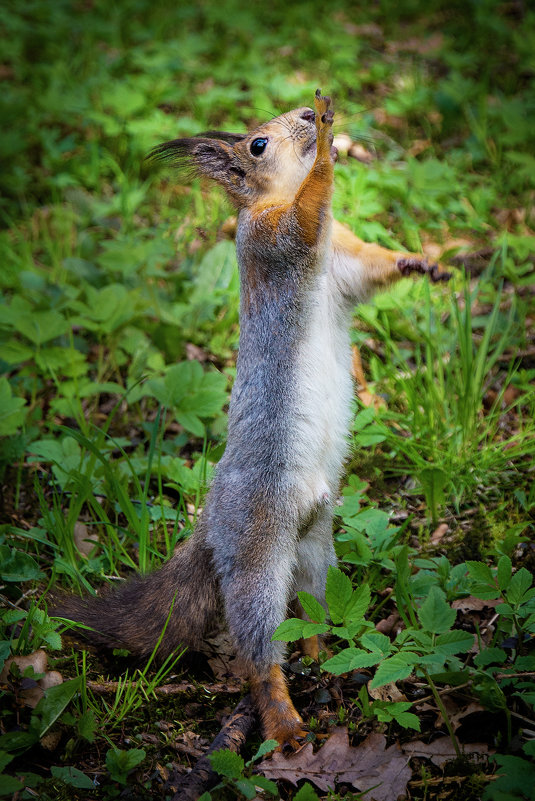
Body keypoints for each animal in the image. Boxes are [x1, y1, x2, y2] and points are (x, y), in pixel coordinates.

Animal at [57, 92, 452, 752]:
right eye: (257, 145)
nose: (304, 115)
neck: (278, 194)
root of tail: (212, 520)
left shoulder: (343, 259)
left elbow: (370, 268)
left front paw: (419, 261)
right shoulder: (272, 238)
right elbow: (304, 218)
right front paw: (328, 142)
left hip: (316, 548)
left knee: (311, 610)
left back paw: (319, 656)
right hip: (257, 548)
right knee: (259, 649)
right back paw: (285, 721)